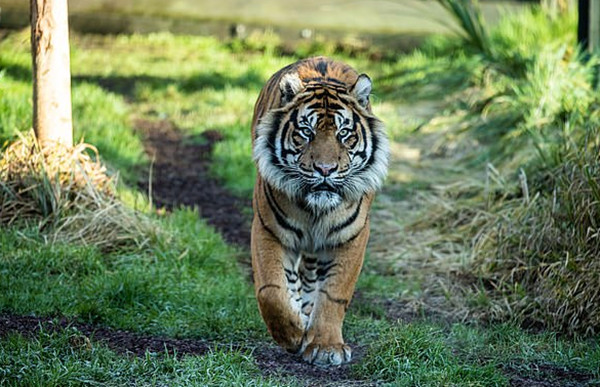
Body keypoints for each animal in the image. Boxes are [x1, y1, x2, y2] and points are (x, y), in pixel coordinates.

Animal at [250, 56, 386, 366]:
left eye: (343, 133)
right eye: (306, 132)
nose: (325, 170)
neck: (316, 210)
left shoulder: (352, 236)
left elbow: (334, 293)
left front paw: (325, 346)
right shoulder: (267, 228)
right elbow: (272, 292)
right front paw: (293, 334)